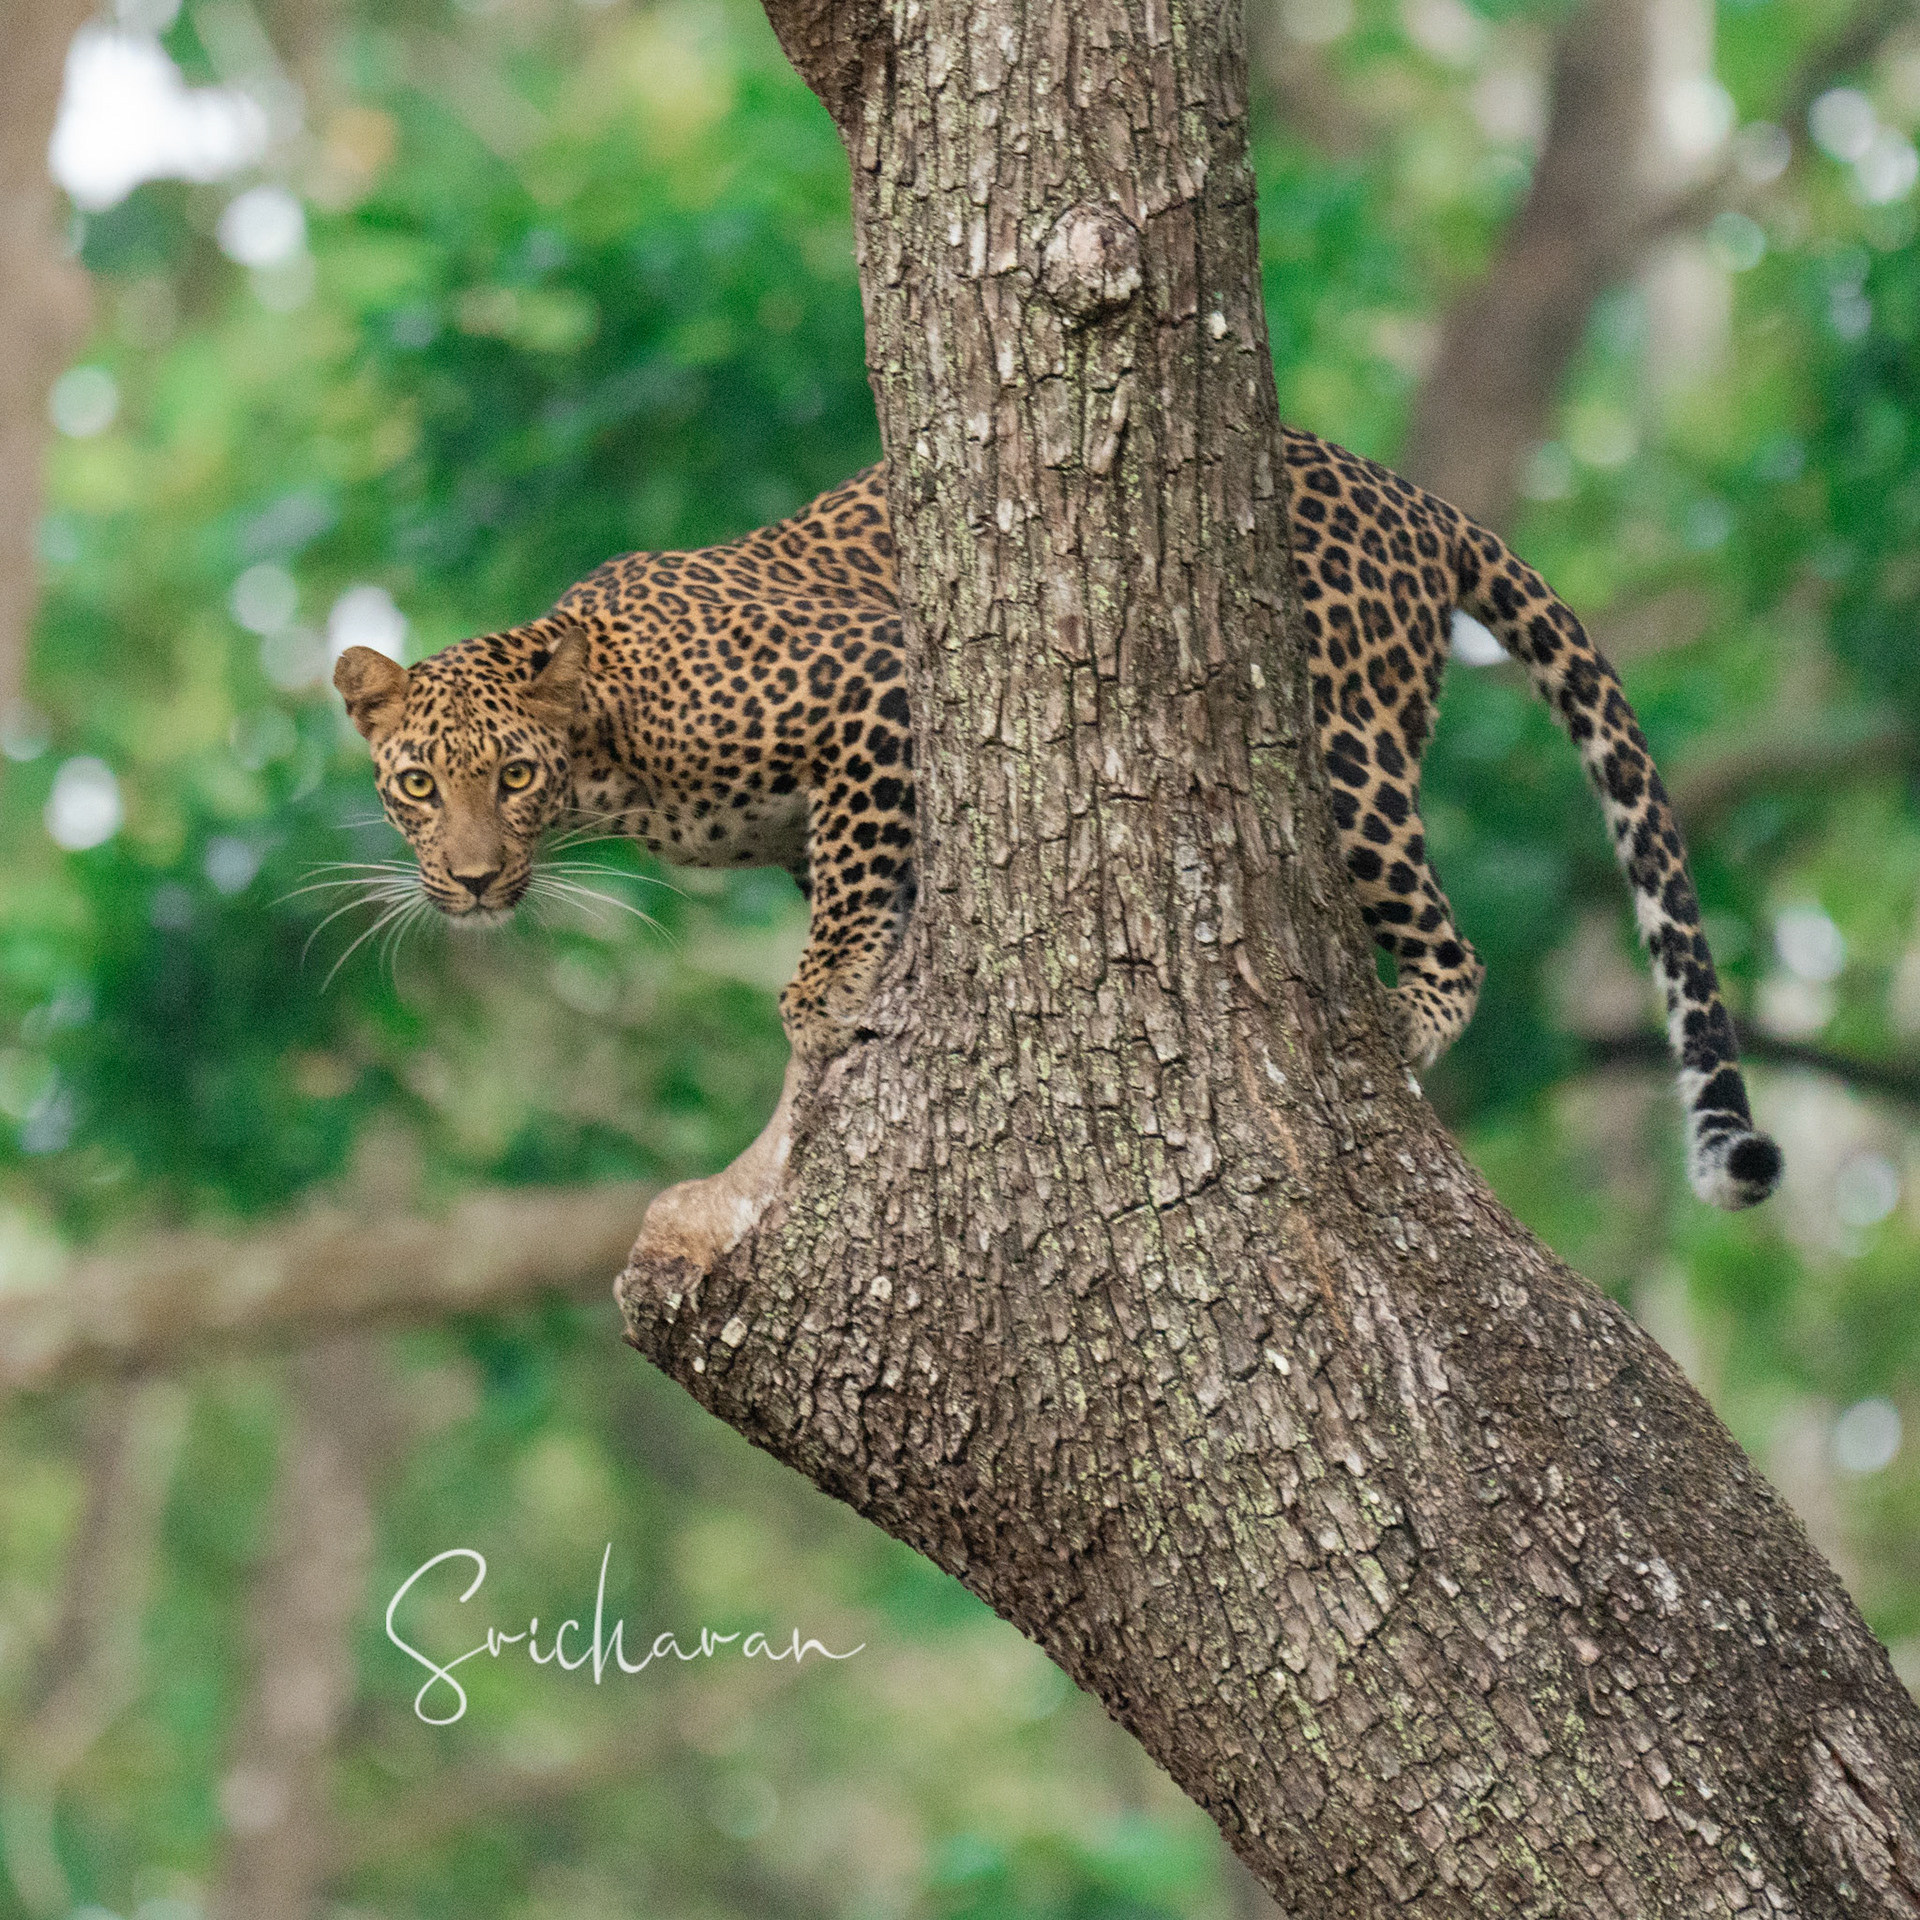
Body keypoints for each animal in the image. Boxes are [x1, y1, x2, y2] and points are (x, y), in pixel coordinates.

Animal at [334, 428, 1781, 1239]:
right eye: (416, 787)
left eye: (513, 775)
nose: (471, 882)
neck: (609, 751)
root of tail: (1410, 494)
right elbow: (869, 872)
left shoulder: (876, 687)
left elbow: (849, 891)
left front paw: (822, 997)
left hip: (1348, 744)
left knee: (1451, 950)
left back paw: (1398, 1034)